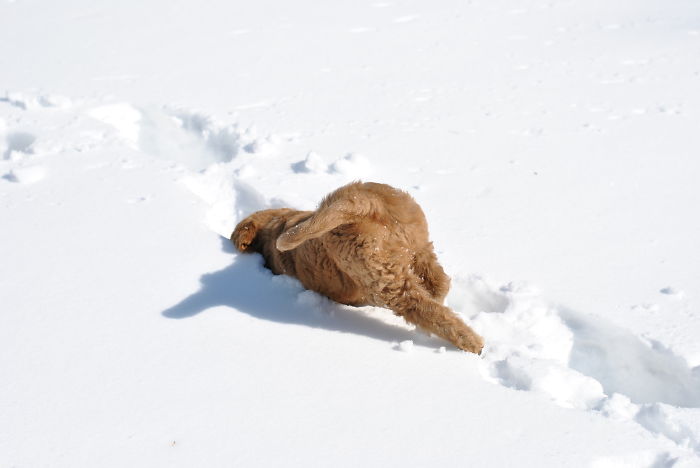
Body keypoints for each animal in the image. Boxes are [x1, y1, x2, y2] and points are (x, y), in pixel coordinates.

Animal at [232, 181, 484, 352]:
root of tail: (359, 203)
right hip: (419, 244)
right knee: (439, 281)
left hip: (379, 272)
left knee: (420, 305)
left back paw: (472, 343)